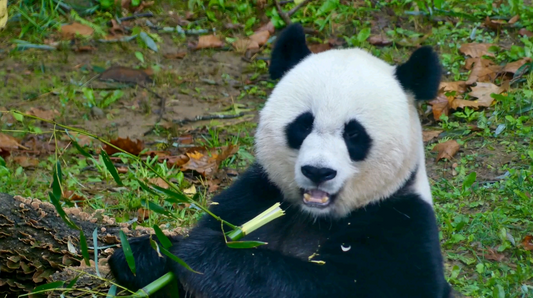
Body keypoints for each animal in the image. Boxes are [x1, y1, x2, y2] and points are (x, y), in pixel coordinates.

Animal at [110, 23, 450, 298]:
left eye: (354, 134)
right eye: (303, 124)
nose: (318, 171)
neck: (311, 217)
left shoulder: (400, 225)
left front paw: (199, 253)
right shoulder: (253, 196)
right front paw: (144, 254)